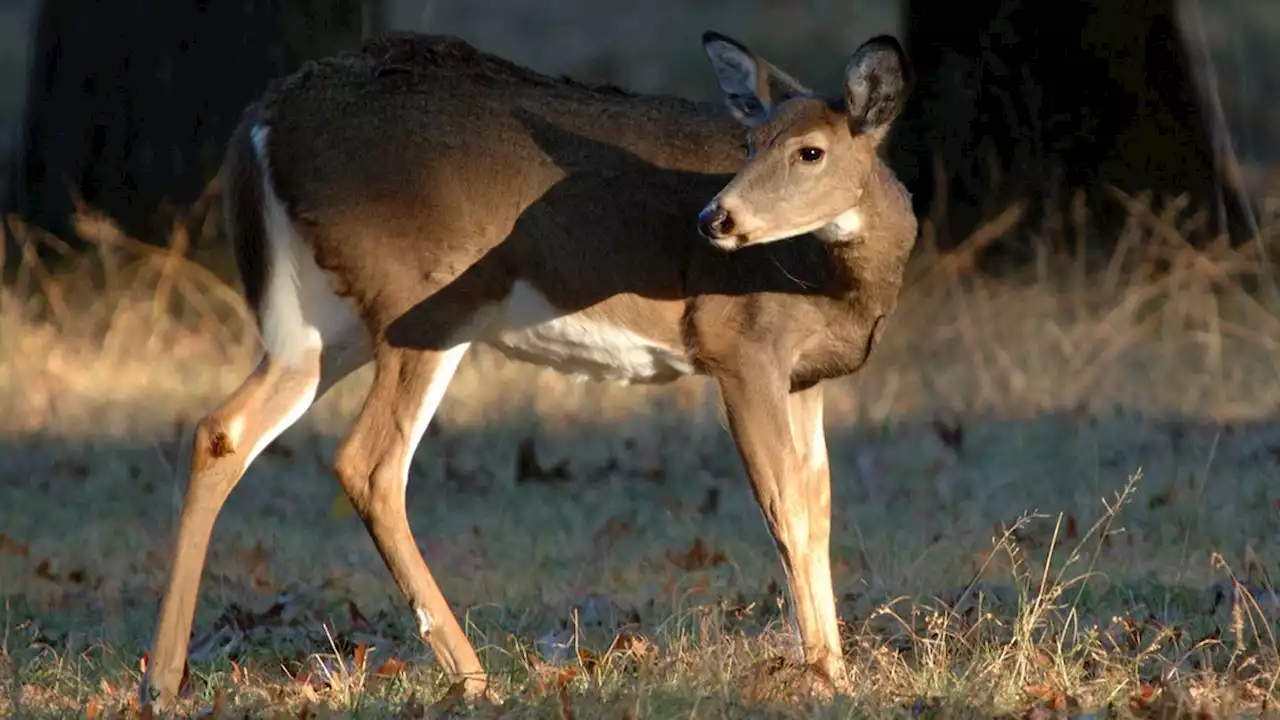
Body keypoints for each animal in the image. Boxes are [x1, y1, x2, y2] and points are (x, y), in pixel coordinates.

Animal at [137, 28, 921, 707]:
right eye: (752, 143)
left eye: (809, 152)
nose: (714, 219)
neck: (837, 282)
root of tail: (261, 123)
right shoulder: (739, 345)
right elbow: (786, 507)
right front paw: (825, 677)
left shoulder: (804, 378)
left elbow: (818, 508)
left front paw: (837, 669)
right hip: (422, 300)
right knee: (369, 463)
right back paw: (475, 678)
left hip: (323, 321)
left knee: (224, 429)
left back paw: (162, 681)